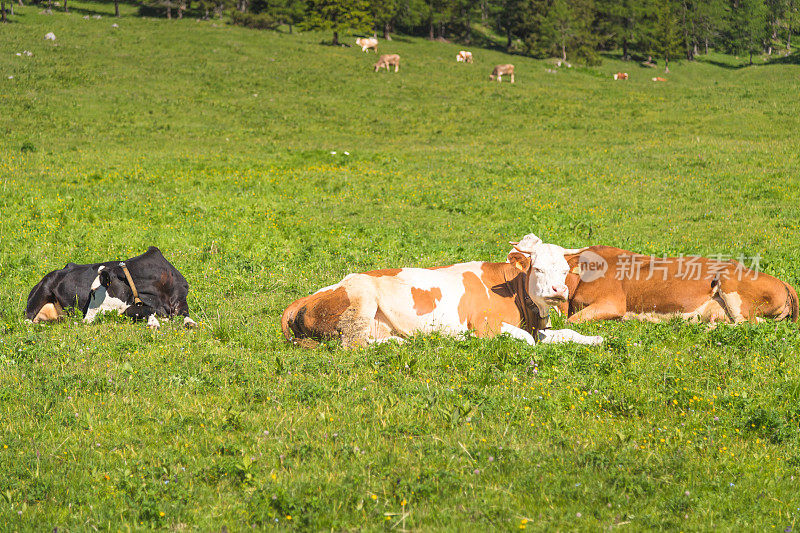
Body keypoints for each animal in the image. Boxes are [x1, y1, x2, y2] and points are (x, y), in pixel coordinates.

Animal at [26, 246, 195, 328]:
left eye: (93, 293)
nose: (85, 319)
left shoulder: (181, 299)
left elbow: (186, 314)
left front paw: (190, 323)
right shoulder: (127, 309)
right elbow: (147, 310)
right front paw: (154, 323)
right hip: (41, 291)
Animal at [282, 233, 600, 350]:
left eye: (564, 270)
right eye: (539, 269)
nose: (559, 290)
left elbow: (567, 333)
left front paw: (595, 338)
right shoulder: (486, 325)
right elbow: (529, 341)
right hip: (361, 301)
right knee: (354, 344)